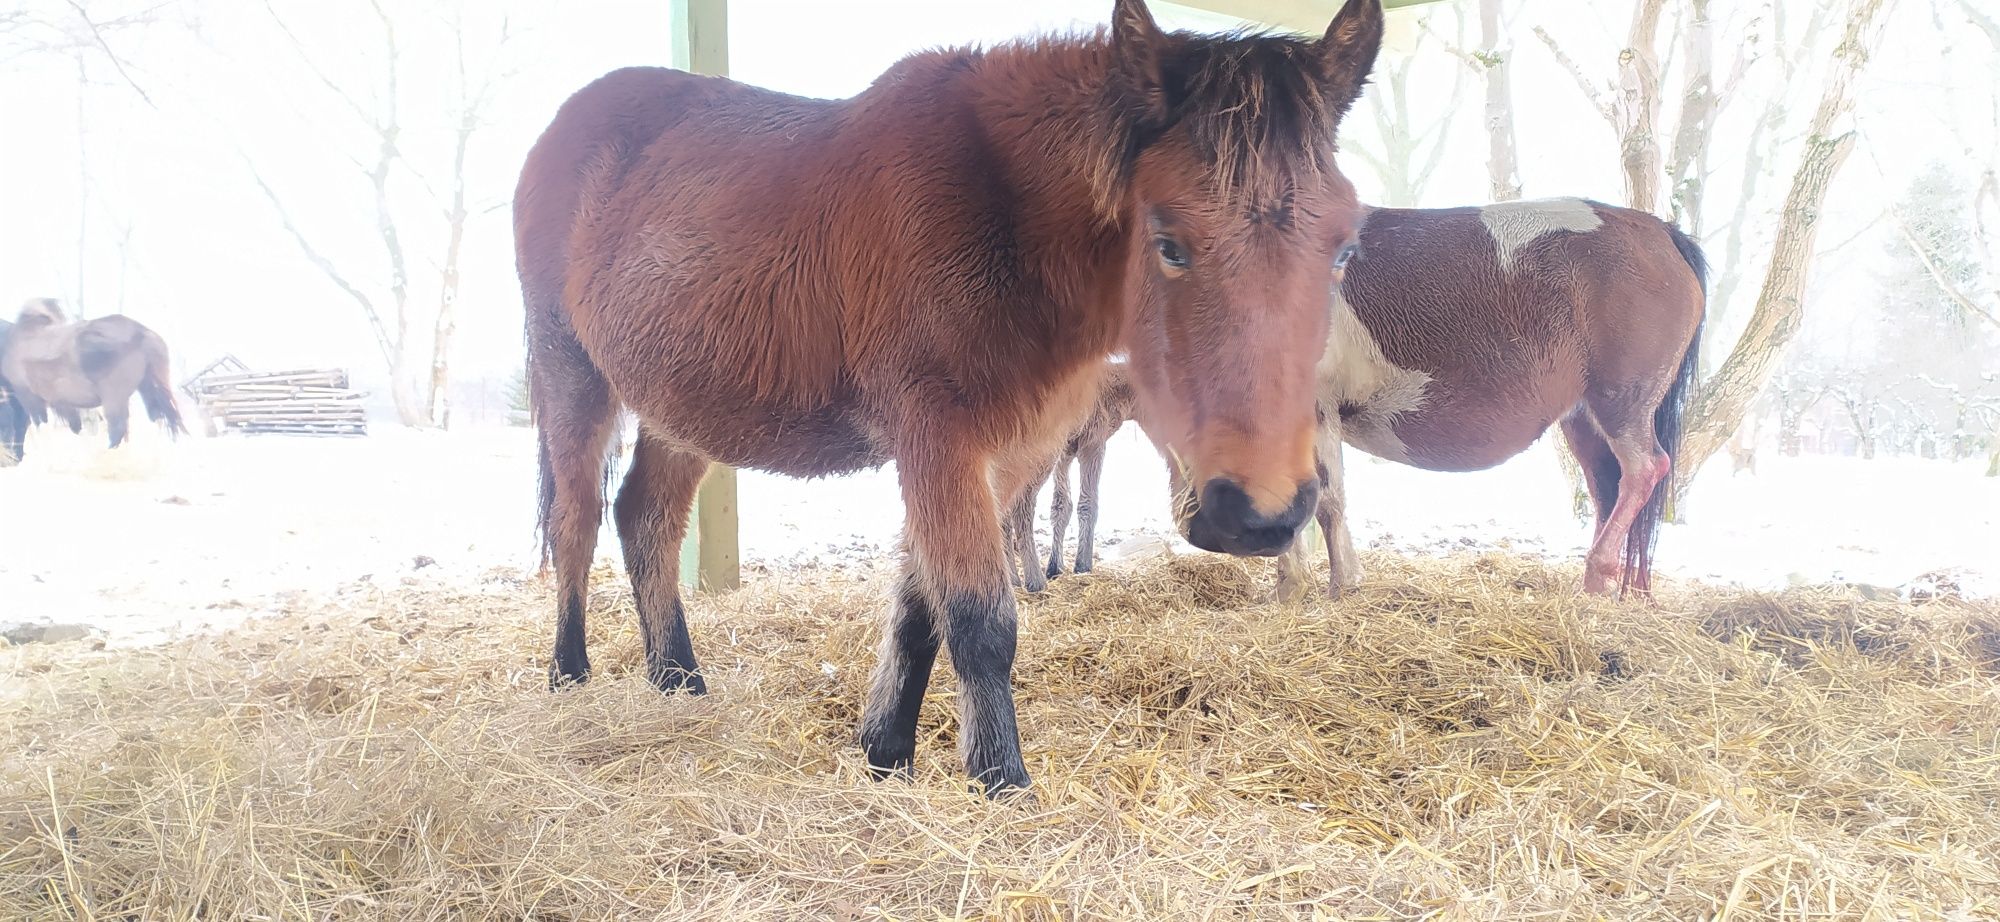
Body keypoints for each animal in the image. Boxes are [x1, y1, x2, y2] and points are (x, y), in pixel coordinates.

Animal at [516, 0, 1392, 792]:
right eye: (1168, 242)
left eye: (1346, 248)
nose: (1261, 514)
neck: (999, 213)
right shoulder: (939, 440)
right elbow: (978, 618)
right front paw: (1001, 781)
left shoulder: (999, 454)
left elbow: (921, 607)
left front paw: (886, 752)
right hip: (573, 376)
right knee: (576, 522)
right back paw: (570, 674)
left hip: (682, 410)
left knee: (647, 520)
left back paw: (678, 679)